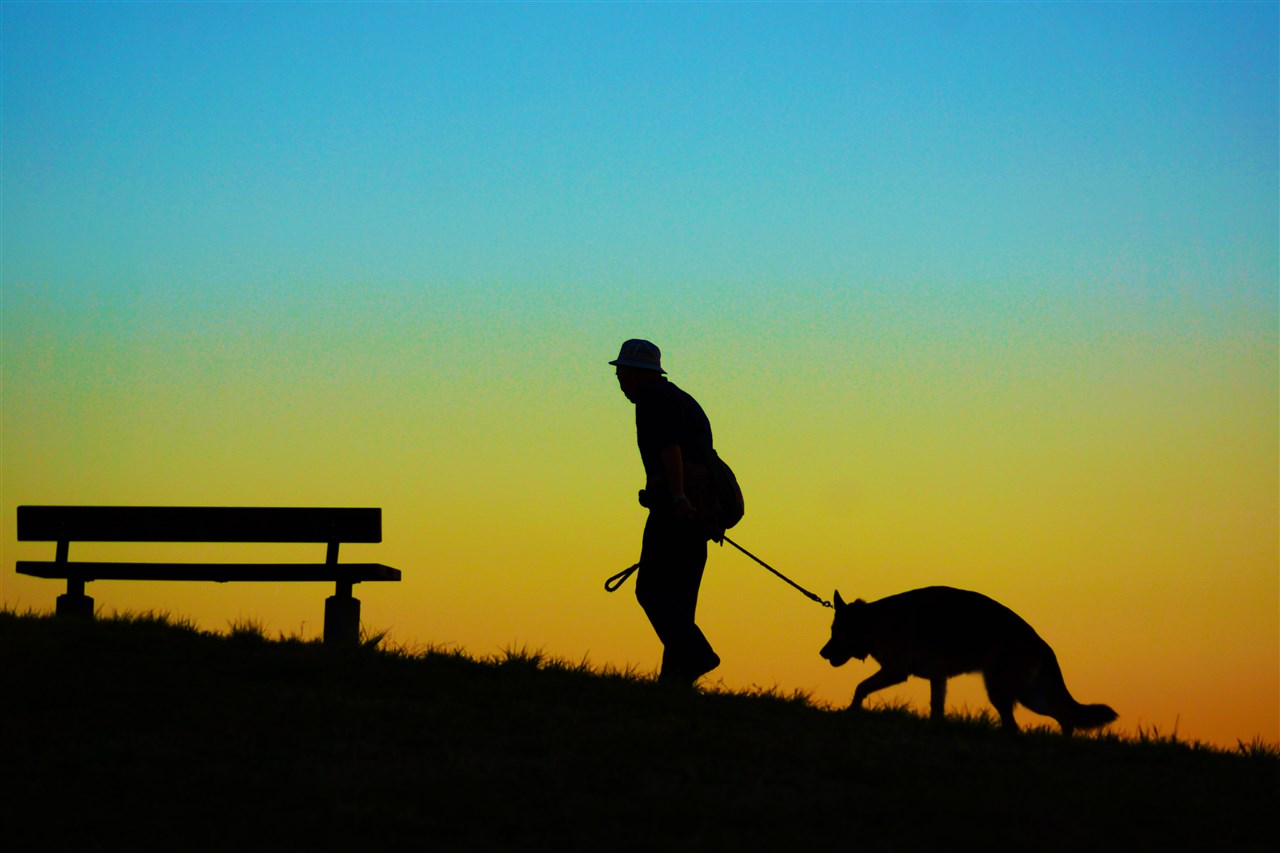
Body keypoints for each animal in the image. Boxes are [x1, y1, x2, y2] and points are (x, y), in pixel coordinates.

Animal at [824, 584, 1116, 732]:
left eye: (835, 632)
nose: (822, 653)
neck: (873, 621)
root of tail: (1041, 643)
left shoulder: (896, 670)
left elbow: (860, 687)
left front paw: (850, 712)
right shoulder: (937, 678)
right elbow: (936, 709)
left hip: (1002, 691)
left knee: (1017, 726)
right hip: (1030, 695)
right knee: (1065, 716)